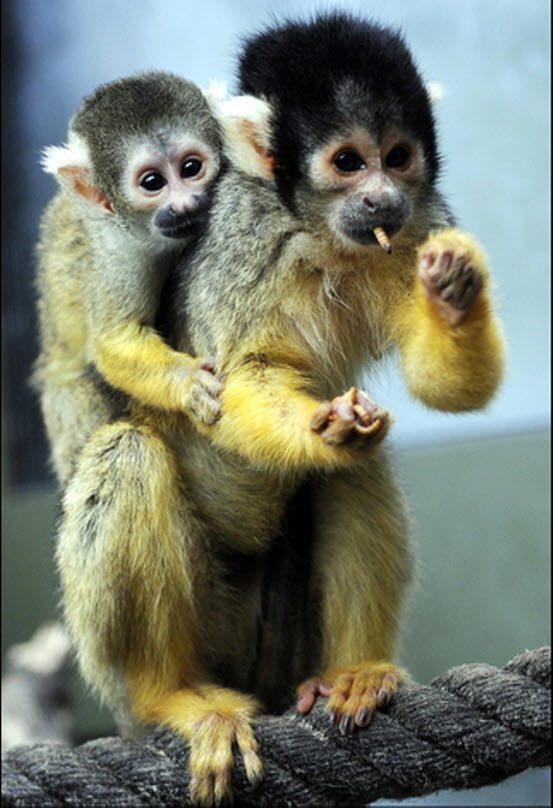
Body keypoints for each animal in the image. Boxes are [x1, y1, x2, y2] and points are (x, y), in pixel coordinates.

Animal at [52, 13, 504, 806]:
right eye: (348, 162)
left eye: (397, 157)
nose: (383, 199)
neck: (322, 234)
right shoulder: (239, 236)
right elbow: (233, 383)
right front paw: (318, 430)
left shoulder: (417, 226)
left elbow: (437, 386)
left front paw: (454, 287)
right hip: (150, 644)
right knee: (126, 454)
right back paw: (171, 696)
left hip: (281, 642)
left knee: (357, 468)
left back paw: (353, 673)